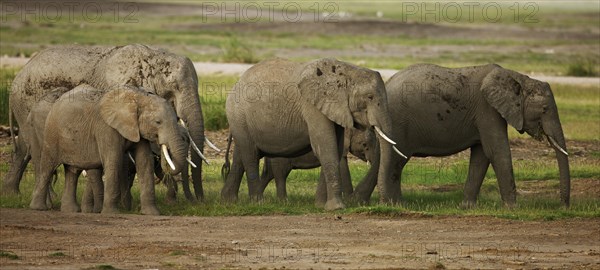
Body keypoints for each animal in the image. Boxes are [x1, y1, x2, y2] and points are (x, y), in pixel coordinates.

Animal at [28, 84, 190, 215]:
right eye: (158, 122)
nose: (163, 150)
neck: (138, 97)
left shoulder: (138, 129)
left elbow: (144, 162)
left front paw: (152, 213)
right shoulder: (106, 128)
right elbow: (114, 160)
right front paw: (111, 213)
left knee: (72, 171)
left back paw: (71, 210)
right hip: (51, 132)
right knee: (47, 167)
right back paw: (38, 208)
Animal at [220, 57, 404, 209]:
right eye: (370, 97)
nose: (385, 204)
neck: (347, 70)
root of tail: (236, 83)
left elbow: (334, 149)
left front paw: (322, 206)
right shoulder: (312, 106)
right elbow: (325, 147)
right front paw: (337, 208)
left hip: (241, 122)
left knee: (241, 157)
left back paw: (229, 201)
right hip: (238, 115)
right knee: (250, 156)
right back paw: (258, 203)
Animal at [352, 64, 572, 208]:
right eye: (544, 109)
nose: (563, 207)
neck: (518, 77)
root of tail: (387, 84)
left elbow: (481, 155)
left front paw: (467, 207)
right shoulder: (487, 110)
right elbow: (497, 151)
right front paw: (513, 209)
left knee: (386, 160)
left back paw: (371, 202)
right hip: (399, 122)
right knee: (396, 161)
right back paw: (394, 205)